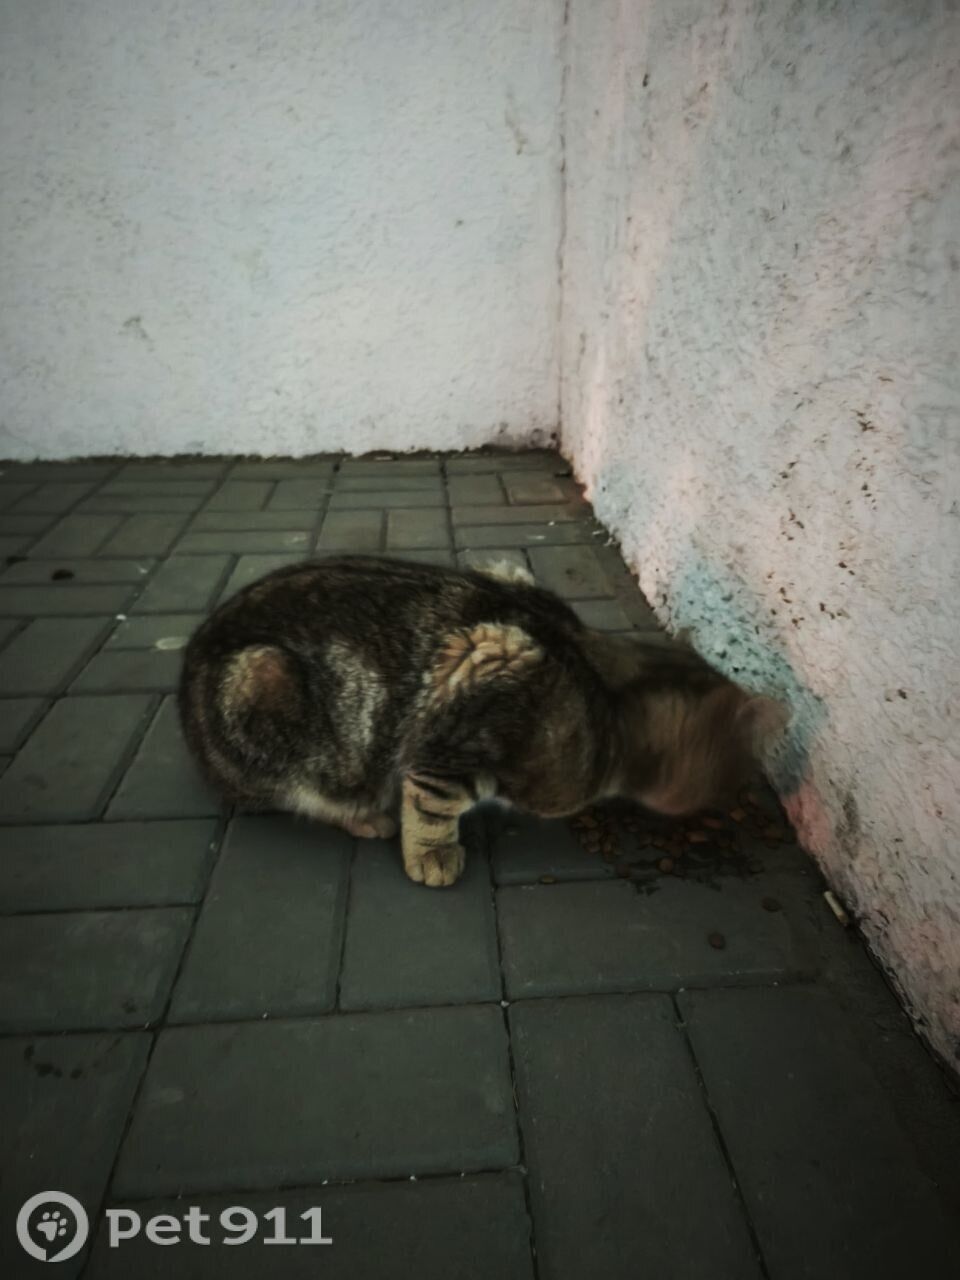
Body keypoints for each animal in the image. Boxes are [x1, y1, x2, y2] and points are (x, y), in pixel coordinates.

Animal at [178, 555, 785, 887]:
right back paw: (365, 816)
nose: (732, 801)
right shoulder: (456, 729)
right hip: (266, 682)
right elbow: (431, 810)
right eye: (734, 779)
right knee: (299, 793)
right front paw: (433, 855)